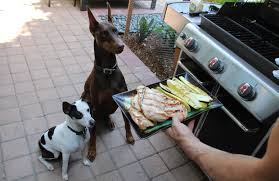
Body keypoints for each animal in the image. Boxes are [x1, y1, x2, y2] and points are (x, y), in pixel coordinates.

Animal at [82, 3, 136, 161]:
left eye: (116, 31)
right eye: (104, 33)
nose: (121, 46)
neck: (108, 71)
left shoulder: (121, 97)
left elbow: (126, 122)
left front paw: (129, 136)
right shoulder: (94, 106)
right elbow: (93, 132)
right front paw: (92, 150)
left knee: (107, 113)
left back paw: (109, 120)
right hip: (86, 99)